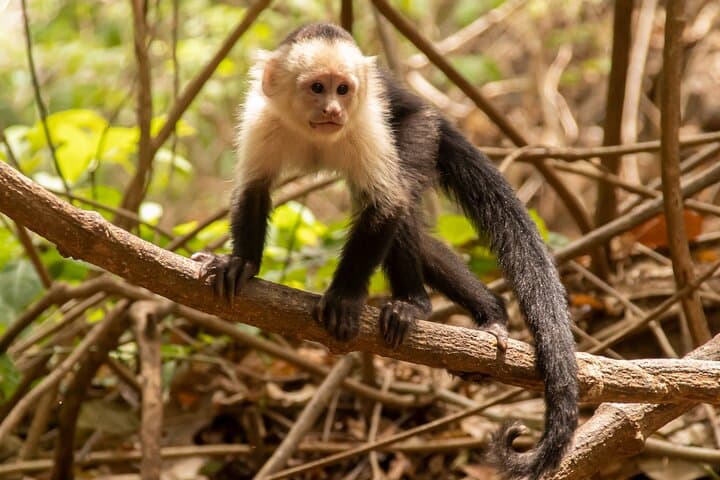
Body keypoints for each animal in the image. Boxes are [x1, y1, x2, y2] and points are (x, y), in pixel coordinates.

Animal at [193, 23, 577, 480]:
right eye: (318, 87)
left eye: (343, 89)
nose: (333, 109)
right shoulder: (262, 117)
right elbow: (253, 190)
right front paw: (241, 264)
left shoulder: (368, 123)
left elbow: (387, 205)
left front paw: (344, 298)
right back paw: (491, 311)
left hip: (421, 126)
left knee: (404, 200)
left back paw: (422, 305)